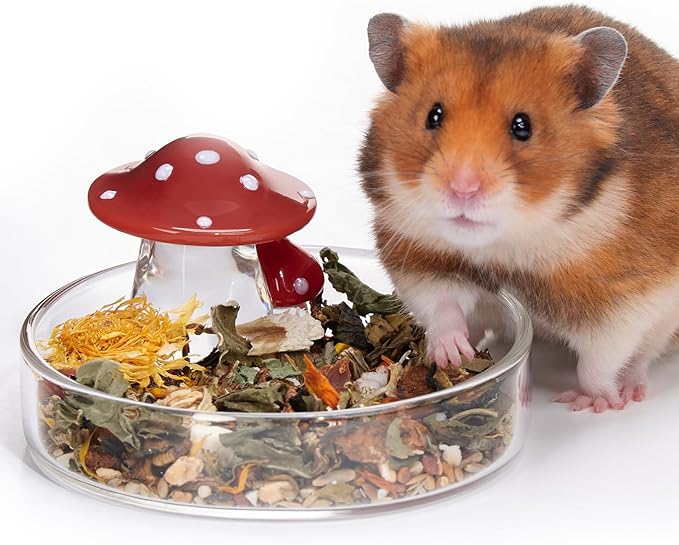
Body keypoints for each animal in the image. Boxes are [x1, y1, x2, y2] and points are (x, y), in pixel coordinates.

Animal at [358, 5, 679, 412]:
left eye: (522, 126)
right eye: (434, 115)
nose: (462, 189)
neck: (507, 247)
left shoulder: (627, 301)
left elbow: (599, 361)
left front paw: (590, 403)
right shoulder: (420, 259)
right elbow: (442, 305)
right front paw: (452, 354)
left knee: (642, 356)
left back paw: (630, 392)